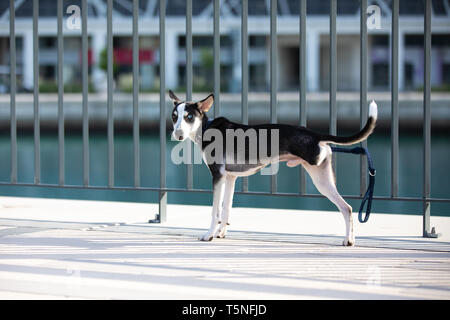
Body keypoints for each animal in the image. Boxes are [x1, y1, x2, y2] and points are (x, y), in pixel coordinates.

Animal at [169, 90, 376, 248]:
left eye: (189, 117)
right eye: (174, 117)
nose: (177, 135)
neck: (207, 128)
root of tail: (315, 135)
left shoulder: (217, 176)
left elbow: (215, 211)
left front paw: (209, 234)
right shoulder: (229, 178)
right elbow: (226, 209)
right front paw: (221, 232)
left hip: (319, 180)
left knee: (345, 208)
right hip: (323, 180)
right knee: (347, 208)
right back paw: (349, 240)